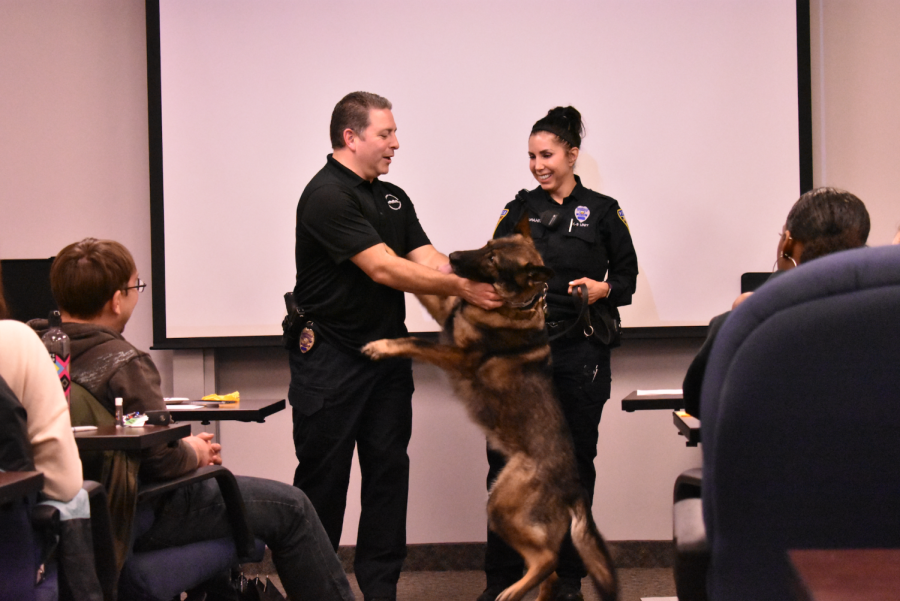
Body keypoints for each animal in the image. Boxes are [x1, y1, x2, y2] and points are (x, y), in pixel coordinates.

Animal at [362, 216, 616, 600]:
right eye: (487, 245)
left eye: (495, 260)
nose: (452, 257)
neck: (513, 306)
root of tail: (573, 488)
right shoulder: (447, 309)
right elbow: (428, 290)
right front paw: (390, 251)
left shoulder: (457, 356)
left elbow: (414, 341)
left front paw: (382, 346)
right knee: (550, 570)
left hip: (500, 506)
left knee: (548, 561)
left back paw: (509, 592)